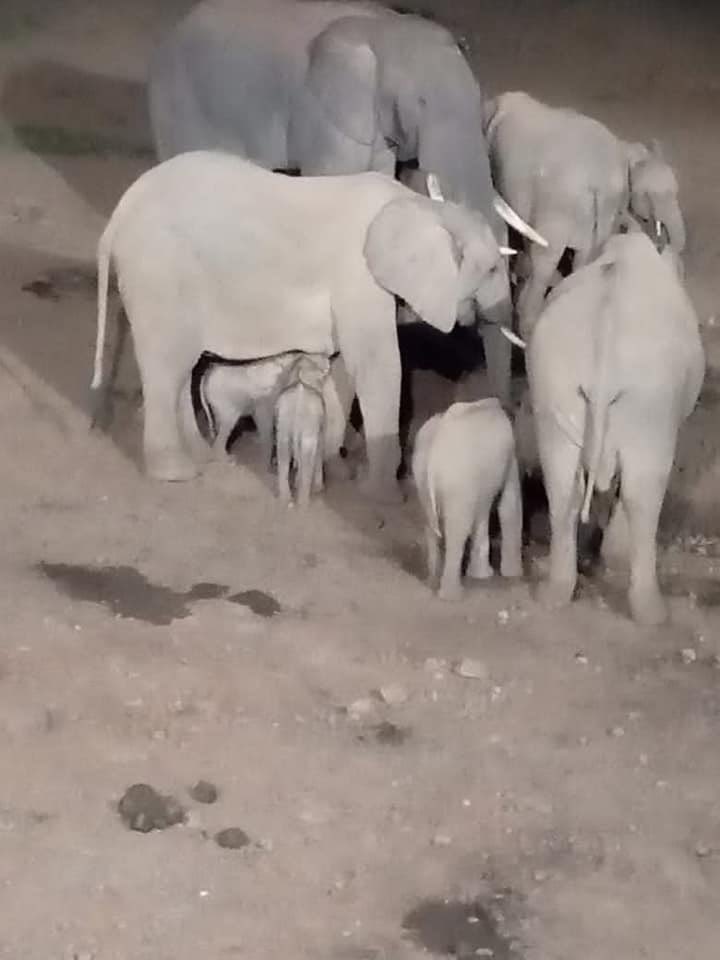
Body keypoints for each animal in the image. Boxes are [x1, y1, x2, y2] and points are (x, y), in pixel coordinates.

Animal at [147, 0, 528, 404]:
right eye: (420, 103)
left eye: (477, 100)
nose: (503, 407)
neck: (387, 31)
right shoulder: (325, 120)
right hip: (177, 107)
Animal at [275, 353, 331, 506]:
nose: (328, 363)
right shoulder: (320, 419)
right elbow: (319, 446)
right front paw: (317, 488)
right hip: (308, 421)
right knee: (308, 451)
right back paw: (304, 502)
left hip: (284, 419)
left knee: (283, 449)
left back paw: (286, 499)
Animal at [412, 398, 523, 599]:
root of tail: (434, 453)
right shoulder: (511, 456)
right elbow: (509, 505)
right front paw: (511, 575)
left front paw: (482, 575)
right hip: (458, 482)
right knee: (458, 529)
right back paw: (452, 595)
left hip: (421, 477)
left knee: (430, 526)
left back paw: (432, 581)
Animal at [485, 91, 686, 335]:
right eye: (649, 196)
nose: (662, 243)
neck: (627, 149)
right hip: (559, 206)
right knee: (548, 262)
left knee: (569, 260)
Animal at [526, 232, 704, 625]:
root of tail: (604, 333)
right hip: (650, 400)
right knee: (644, 491)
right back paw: (652, 613)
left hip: (553, 380)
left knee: (562, 483)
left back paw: (554, 595)